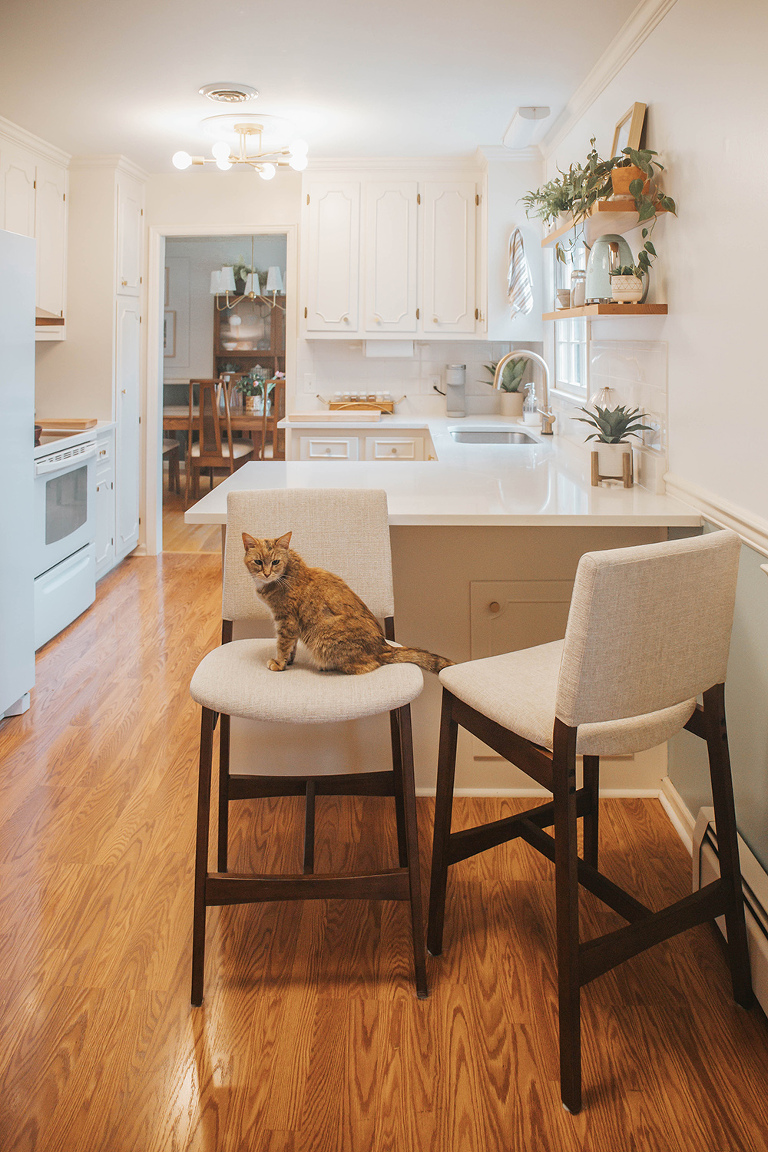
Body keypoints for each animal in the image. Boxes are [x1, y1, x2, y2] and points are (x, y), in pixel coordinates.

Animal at [242, 529, 453, 672]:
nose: (266, 573)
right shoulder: (289, 624)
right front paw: (288, 661)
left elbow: (283, 645)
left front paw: (279, 663)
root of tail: (384, 646)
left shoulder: (286, 620)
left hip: (322, 640)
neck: (285, 575)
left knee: (369, 665)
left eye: (275, 562)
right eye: (258, 562)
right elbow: (291, 646)